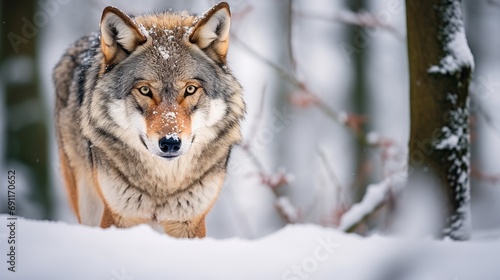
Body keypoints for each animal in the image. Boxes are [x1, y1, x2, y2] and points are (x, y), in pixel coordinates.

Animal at [52, 2, 244, 238]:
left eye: (190, 89)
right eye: (145, 90)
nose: (170, 143)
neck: (162, 185)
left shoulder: (190, 222)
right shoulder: (118, 216)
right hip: (88, 205)